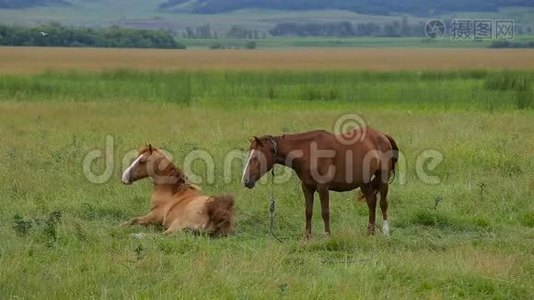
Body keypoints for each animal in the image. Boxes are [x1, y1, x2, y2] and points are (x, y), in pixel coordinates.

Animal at [243, 127, 398, 238]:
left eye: (256, 158)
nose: (245, 181)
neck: (308, 152)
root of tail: (383, 136)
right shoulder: (307, 187)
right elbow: (308, 211)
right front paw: (307, 236)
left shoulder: (323, 187)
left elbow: (325, 212)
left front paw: (327, 235)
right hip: (364, 181)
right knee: (371, 202)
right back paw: (370, 232)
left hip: (382, 179)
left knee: (383, 203)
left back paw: (385, 232)